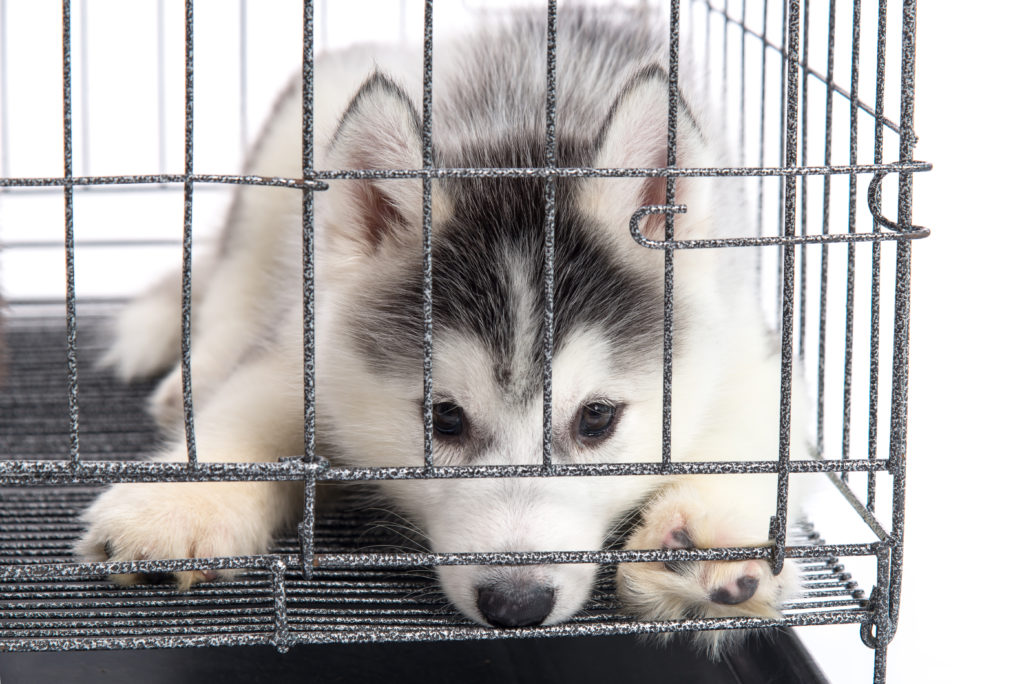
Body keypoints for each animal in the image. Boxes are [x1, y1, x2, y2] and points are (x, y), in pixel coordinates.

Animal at [75, 9, 802, 630]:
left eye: (596, 419)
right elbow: (255, 402)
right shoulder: (313, 345)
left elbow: (759, 436)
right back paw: (195, 374)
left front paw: (710, 542)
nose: (516, 603)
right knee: (236, 276)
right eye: (442, 418)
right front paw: (180, 501)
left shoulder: (742, 346)